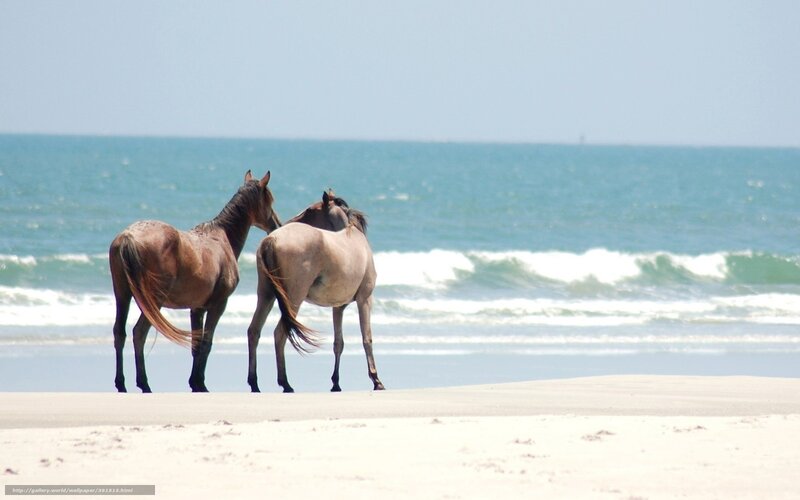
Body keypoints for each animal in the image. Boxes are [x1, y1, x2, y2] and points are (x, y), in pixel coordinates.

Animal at [109, 171, 280, 393]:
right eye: (269, 200)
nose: (276, 225)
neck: (221, 237)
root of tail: (128, 237)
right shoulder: (218, 305)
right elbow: (206, 342)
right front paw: (200, 383)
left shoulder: (196, 308)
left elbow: (196, 345)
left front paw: (195, 382)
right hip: (152, 302)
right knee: (139, 333)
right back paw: (144, 384)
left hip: (122, 295)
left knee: (119, 333)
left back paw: (121, 384)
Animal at [246, 190, 385, 393]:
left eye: (310, 210)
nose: (280, 223)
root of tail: (271, 240)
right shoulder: (365, 299)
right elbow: (367, 338)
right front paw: (376, 380)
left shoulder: (338, 307)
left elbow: (338, 343)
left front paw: (336, 383)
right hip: (293, 299)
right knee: (280, 333)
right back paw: (285, 383)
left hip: (266, 296)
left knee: (254, 331)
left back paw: (254, 383)